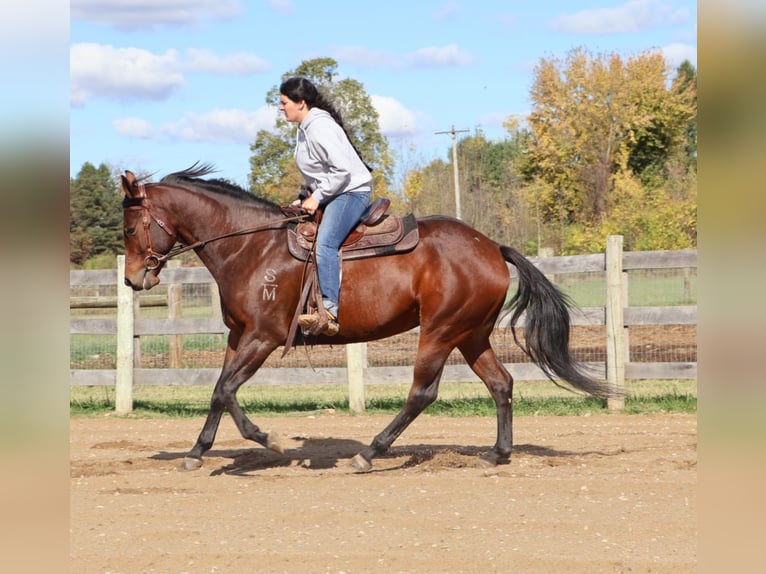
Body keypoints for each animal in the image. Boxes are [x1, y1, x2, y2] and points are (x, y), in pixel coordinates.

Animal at [120, 163, 623, 472]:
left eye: (128, 227)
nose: (131, 279)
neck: (251, 246)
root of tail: (490, 246)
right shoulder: (238, 336)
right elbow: (218, 393)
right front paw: (196, 451)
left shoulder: (262, 338)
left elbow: (226, 391)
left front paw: (269, 440)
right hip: (471, 334)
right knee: (501, 385)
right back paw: (497, 454)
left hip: (440, 331)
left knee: (422, 393)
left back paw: (370, 452)